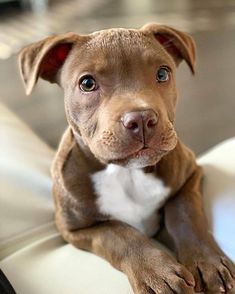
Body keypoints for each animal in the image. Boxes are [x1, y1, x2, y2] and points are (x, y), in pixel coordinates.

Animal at [18, 24, 235, 292]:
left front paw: (208, 264)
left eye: (162, 74)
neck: (126, 172)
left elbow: (185, 213)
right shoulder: (73, 229)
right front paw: (157, 273)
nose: (142, 119)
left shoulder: (192, 174)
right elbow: (119, 235)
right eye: (87, 83)